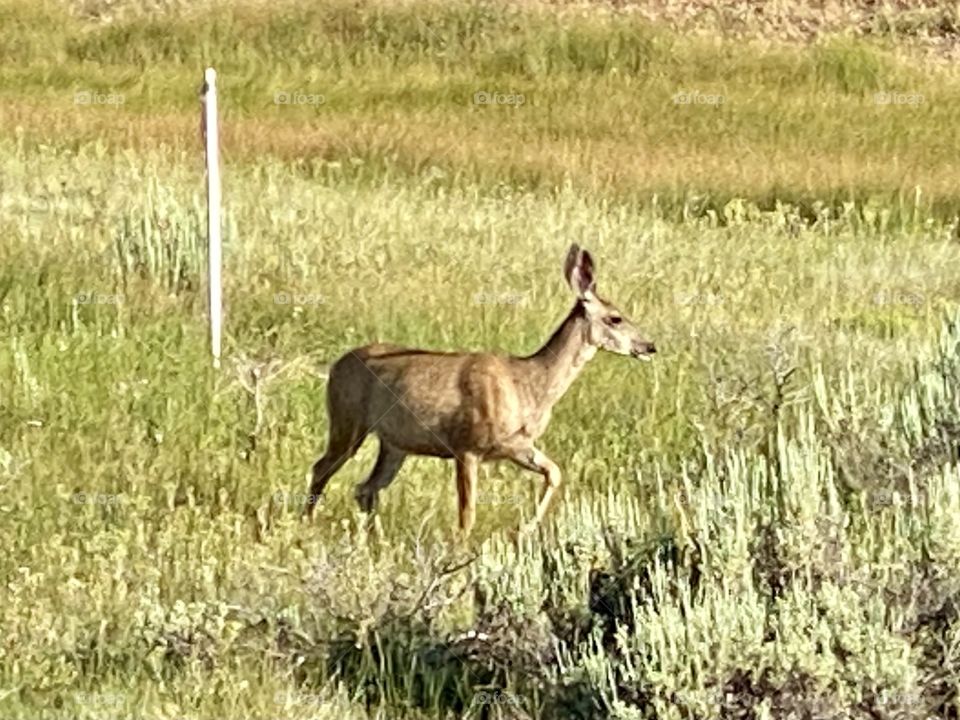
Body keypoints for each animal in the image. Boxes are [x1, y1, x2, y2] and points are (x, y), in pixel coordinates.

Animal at [302, 244, 656, 536]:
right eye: (615, 318)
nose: (649, 346)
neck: (529, 385)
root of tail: (335, 366)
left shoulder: (518, 444)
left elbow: (554, 472)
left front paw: (526, 528)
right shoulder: (467, 446)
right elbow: (467, 514)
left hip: (394, 444)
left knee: (366, 487)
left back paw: (375, 539)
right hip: (347, 421)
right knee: (322, 468)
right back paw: (308, 526)